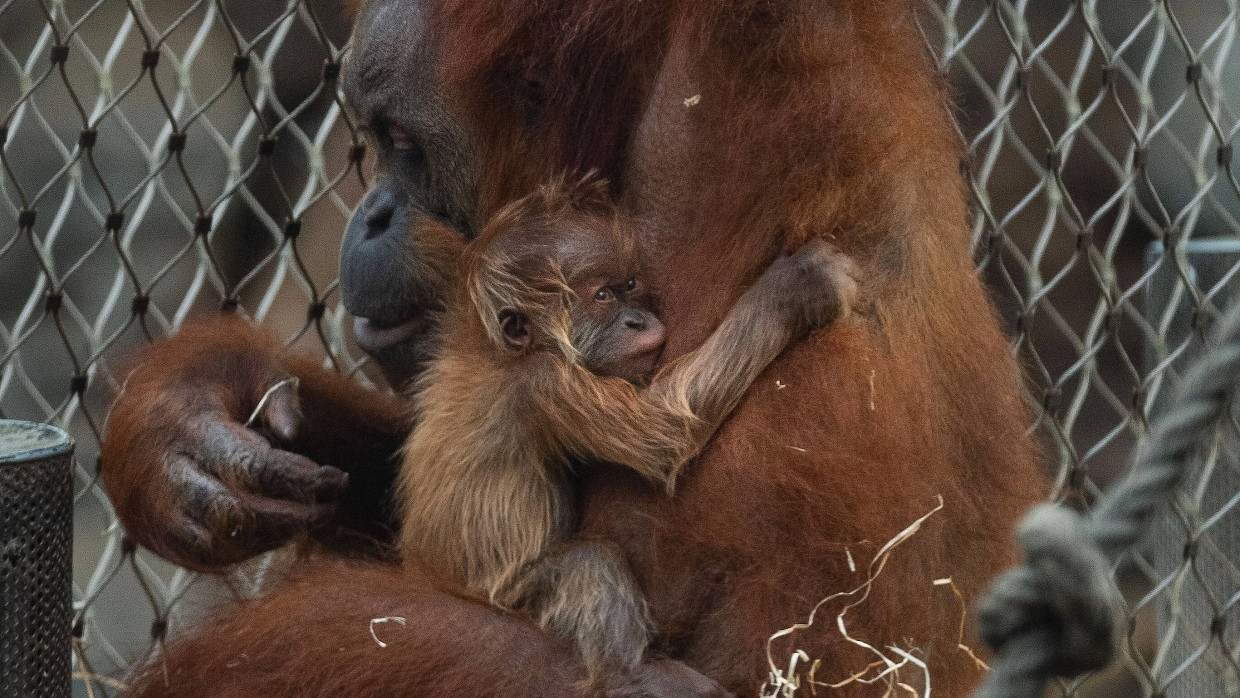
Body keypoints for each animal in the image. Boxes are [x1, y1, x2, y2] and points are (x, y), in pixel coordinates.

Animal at [397, 176, 859, 686]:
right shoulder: (548, 385)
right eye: (603, 296)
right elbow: (666, 429)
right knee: (590, 565)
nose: (637, 320)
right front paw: (797, 287)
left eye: (631, 285)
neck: (511, 352)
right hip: (508, 602)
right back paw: (634, 679)